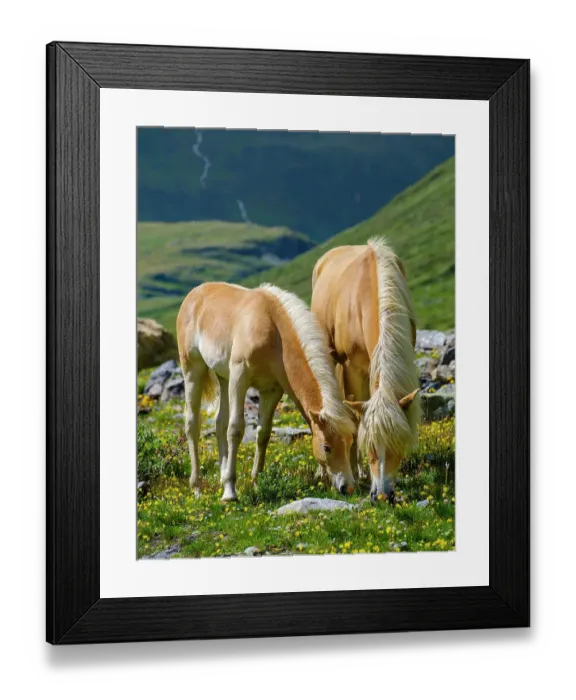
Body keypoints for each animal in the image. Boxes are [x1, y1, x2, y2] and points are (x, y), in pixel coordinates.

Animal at [176, 282, 357, 502]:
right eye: (327, 447)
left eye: (350, 442)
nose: (347, 488)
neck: (273, 331)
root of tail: (195, 293)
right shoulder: (239, 377)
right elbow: (235, 429)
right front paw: (230, 491)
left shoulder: (271, 390)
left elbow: (263, 434)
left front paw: (255, 482)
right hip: (193, 370)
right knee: (192, 423)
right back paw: (197, 487)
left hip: (223, 378)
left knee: (219, 422)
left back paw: (221, 476)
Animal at [311, 238, 421, 502]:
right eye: (369, 446)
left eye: (397, 444)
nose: (382, 495)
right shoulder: (352, 368)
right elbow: (353, 419)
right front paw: (356, 472)